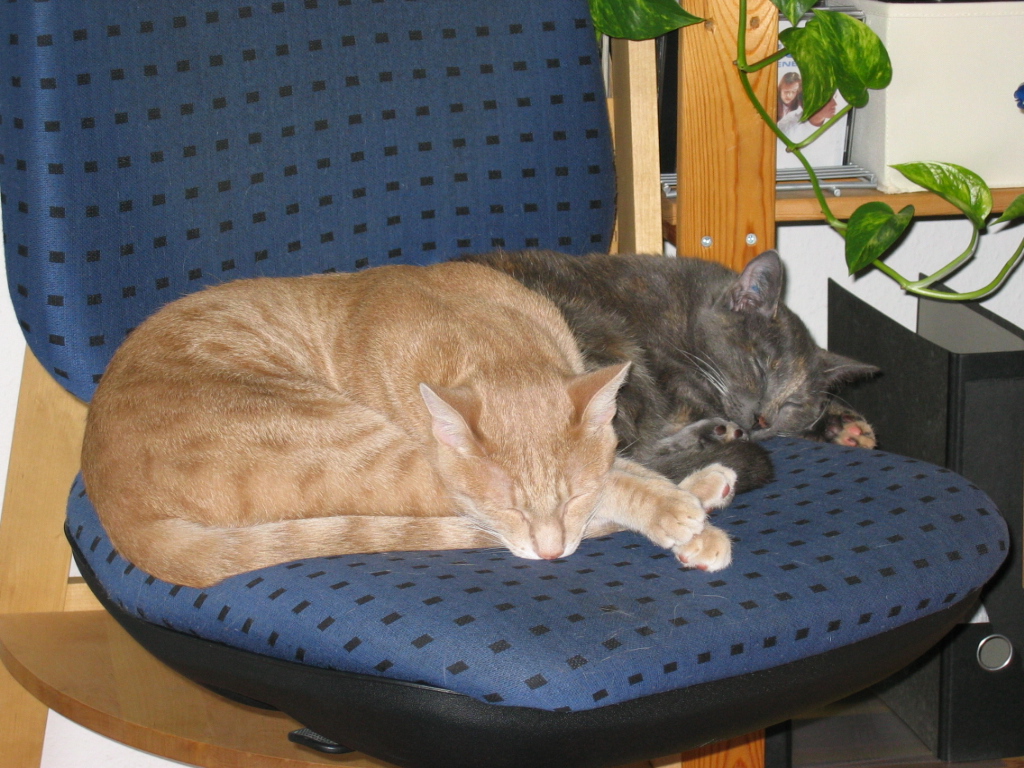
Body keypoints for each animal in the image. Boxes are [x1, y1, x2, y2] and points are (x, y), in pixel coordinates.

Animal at [81, 261, 738, 589]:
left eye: (570, 495)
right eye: (509, 507)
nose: (551, 553)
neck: (490, 340)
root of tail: (113, 505)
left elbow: (616, 471)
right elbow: (618, 481)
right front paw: (679, 515)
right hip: (368, 455)